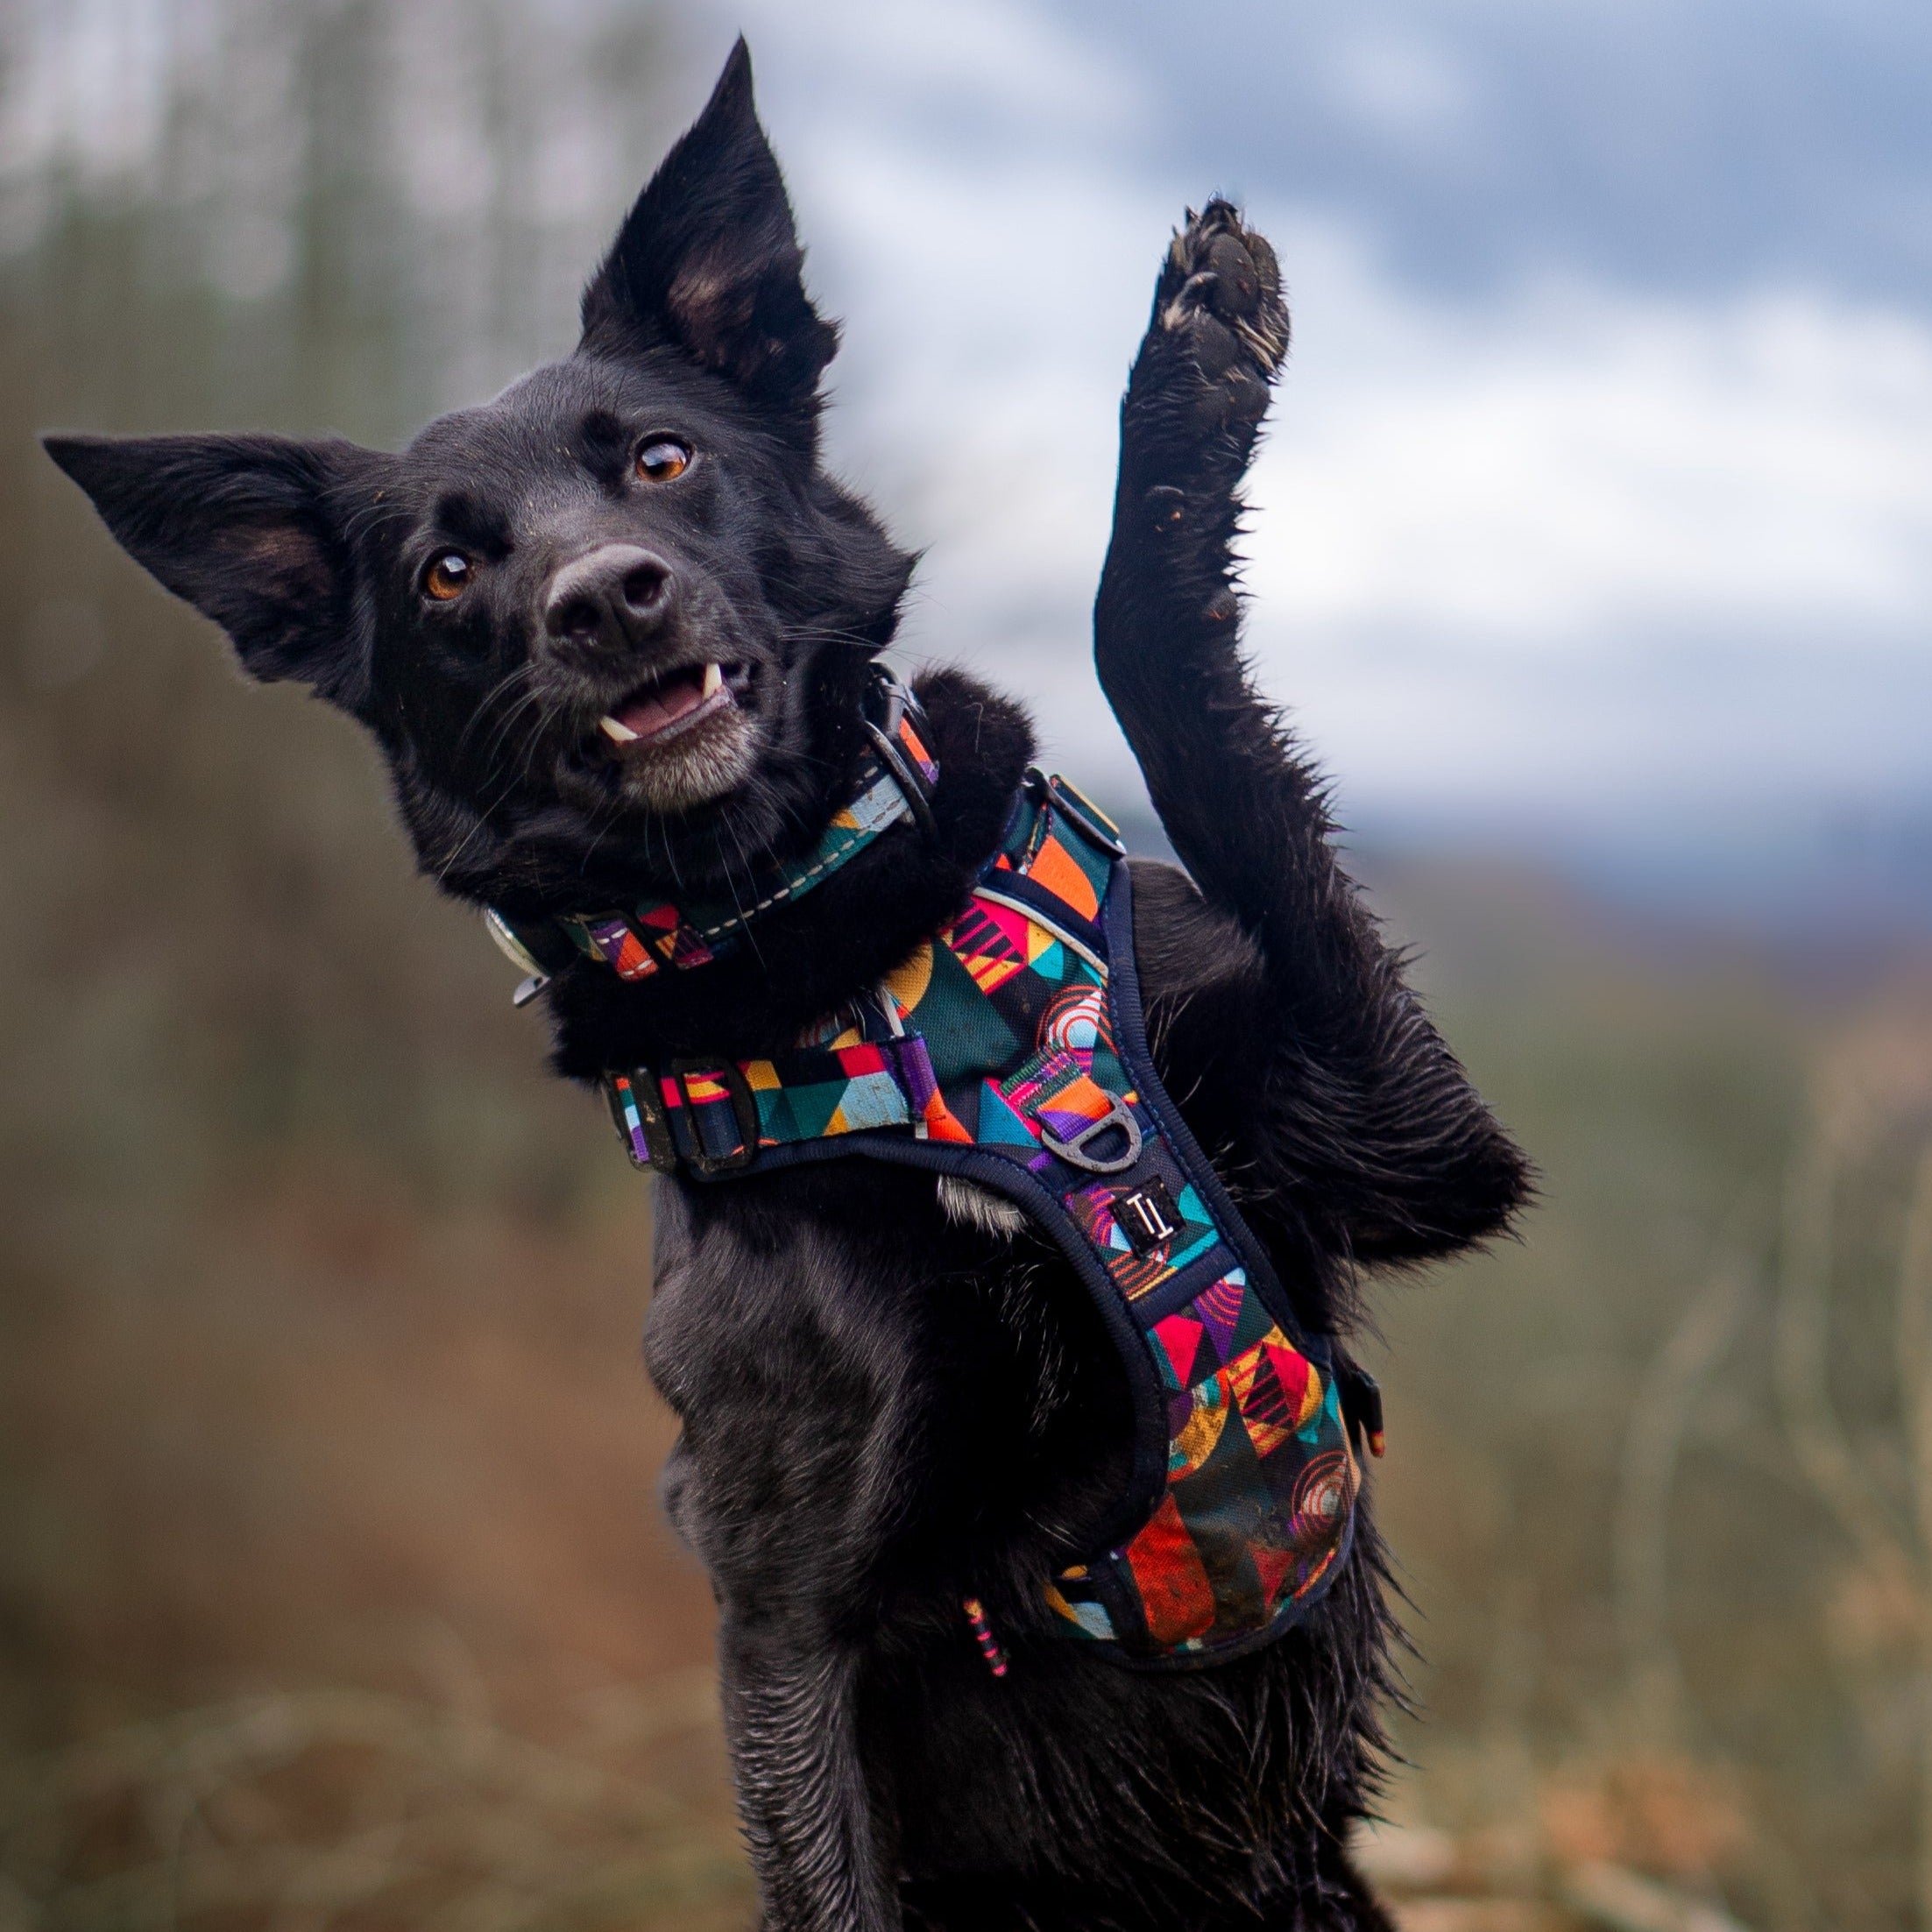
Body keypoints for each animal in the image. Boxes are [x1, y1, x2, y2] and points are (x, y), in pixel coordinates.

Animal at [46, 42, 1529, 1932]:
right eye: (449, 569)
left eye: (660, 459)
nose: (605, 602)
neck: (856, 967)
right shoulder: (783, 1607)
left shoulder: (1404, 1129)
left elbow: (1159, 662)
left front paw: (1190, 384)